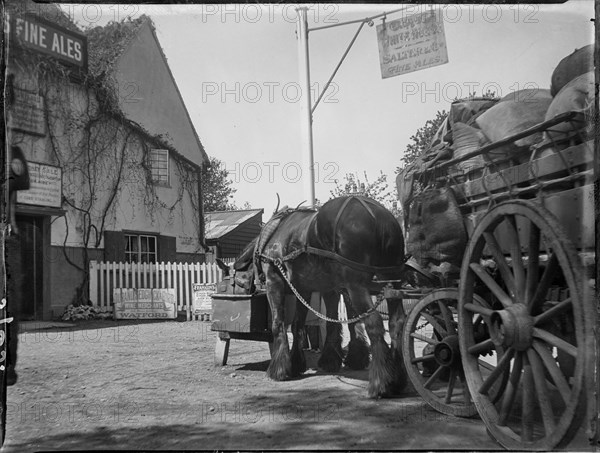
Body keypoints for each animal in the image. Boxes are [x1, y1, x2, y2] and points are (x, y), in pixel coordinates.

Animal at [234, 196, 408, 398]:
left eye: (237, 282)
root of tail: (378, 216)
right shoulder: (310, 288)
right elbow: (303, 324)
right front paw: (305, 362)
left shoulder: (274, 281)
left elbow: (278, 323)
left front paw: (279, 369)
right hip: (392, 282)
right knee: (397, 323)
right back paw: (398, 378)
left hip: (357, 286)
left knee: (374, 324)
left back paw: (381, 383)